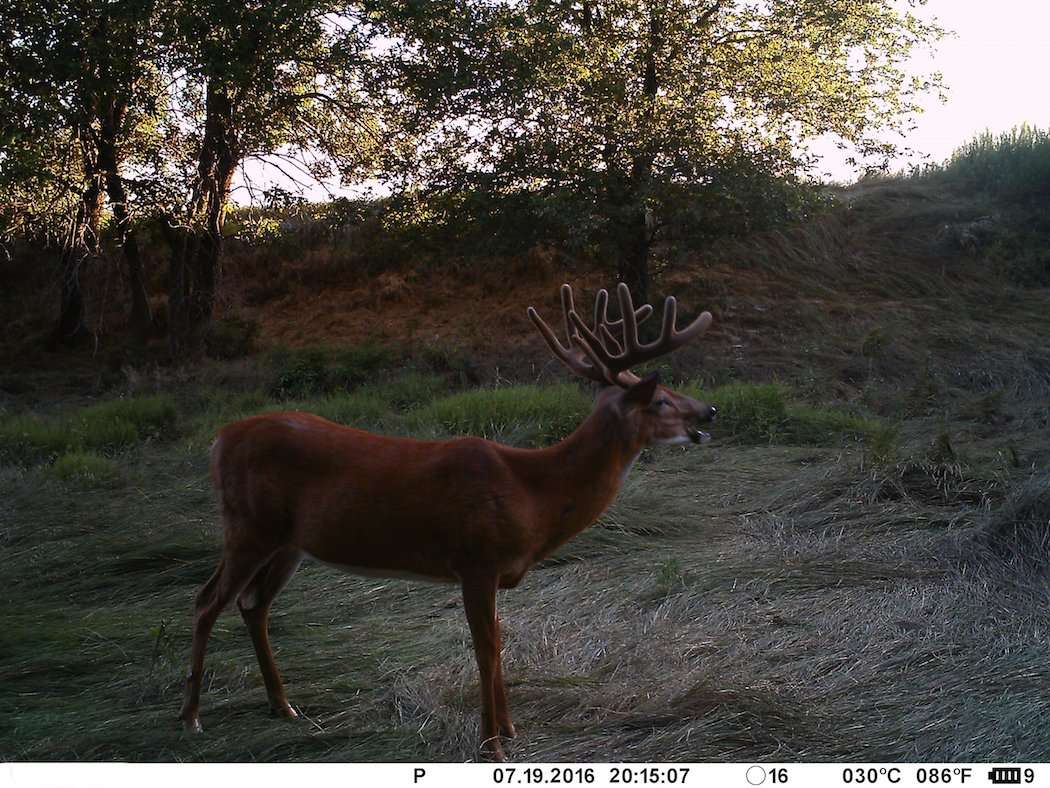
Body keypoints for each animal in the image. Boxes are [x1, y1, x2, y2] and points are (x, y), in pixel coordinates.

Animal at [182, 281, 713, 760]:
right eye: (661, 400)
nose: (708, 410)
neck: (532, 494)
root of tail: (219, 439)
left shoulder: (492, 571)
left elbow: (499, 643)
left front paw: (510, 729)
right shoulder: (475, 558)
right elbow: (486, 648)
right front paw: (491, 745)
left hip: (289, 541)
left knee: (253, 605)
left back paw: (283, 706)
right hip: (248, 526)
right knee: (206, 602)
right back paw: (191, 717)